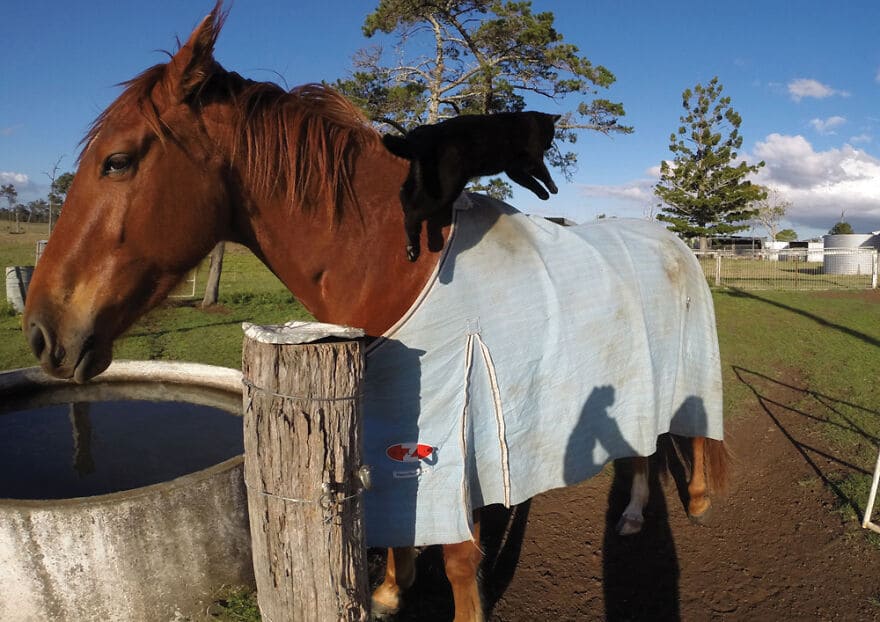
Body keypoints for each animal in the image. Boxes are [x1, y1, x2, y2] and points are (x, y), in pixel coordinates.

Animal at [382, 112, 560, 260]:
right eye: (552, 134)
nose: (550, 146)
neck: (535, 120)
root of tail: (421, 133)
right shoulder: (533, 159)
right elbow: (543, 174)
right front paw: (551, 190)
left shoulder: (514, 170)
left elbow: (531, 182)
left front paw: (545, 194)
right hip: (446, 188)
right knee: (413, 214)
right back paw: (415, 250)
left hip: (421, 178)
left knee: (404, 194)